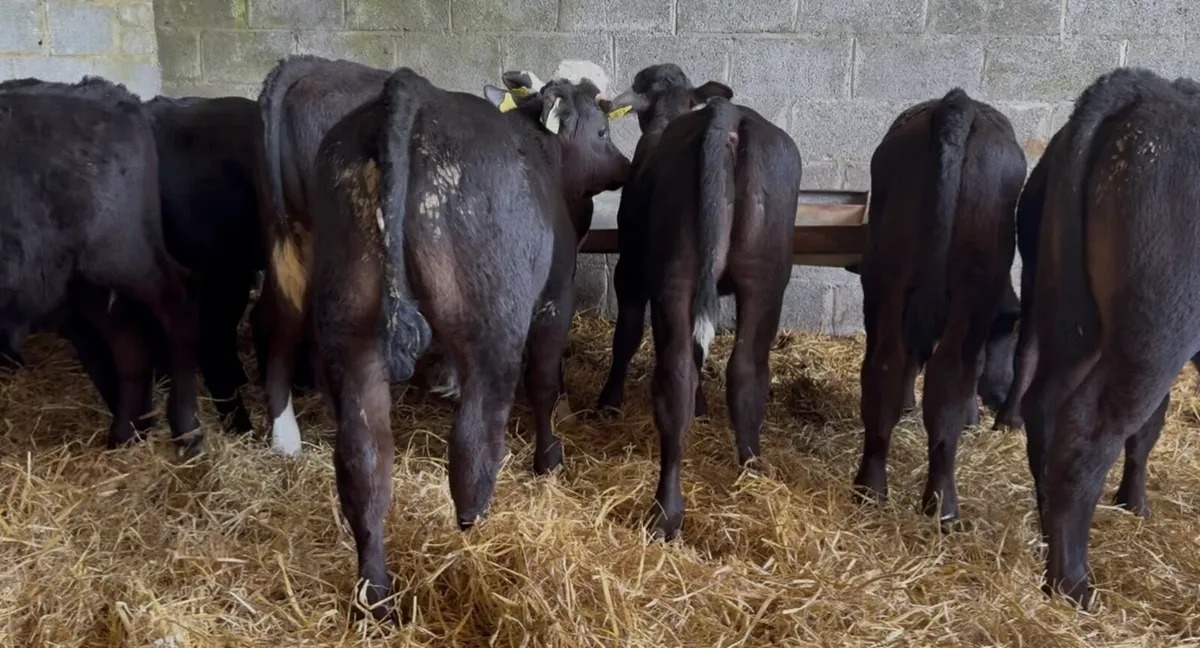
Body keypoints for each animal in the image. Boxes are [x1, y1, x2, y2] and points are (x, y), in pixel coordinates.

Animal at [0, 76, 201, 454]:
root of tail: (111, 92)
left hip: (120, 253)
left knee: (176, 304)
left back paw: (187, 428)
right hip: (82, 277)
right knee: (129, 338)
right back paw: (126, 432)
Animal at [305, 69, 629, 618]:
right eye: (603, 132)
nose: (625, 167)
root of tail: (413, 92)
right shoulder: (555, 298)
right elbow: (544, 383)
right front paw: (549, 461)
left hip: (346, 328)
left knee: (363, 462)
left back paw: (376, 596)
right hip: (492, 323)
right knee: (474, 444)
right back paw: (477, 536)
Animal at [595, 64, 802, 540]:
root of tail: (727, 116)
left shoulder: (630, 270)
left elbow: (626, 336)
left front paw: (608, 401)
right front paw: (705, 408)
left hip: (676, 273)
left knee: (674, 376)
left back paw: (667, 512)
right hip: (766, 278)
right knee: (746, 371)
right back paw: (751, 474)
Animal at [851, 89, 1026, 522]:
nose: (1001, 397)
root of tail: (956, 103)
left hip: (888, 271)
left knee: (886, 366)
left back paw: (874, 488)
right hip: (965, 285)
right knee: (947, 378)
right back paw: (942, 504)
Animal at [1008, 67, 1200, 607]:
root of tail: (1142, 87)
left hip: (1071, 315)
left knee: (1047, 404)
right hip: (1157, 330)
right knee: (1088, 428)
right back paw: (1071, 582)